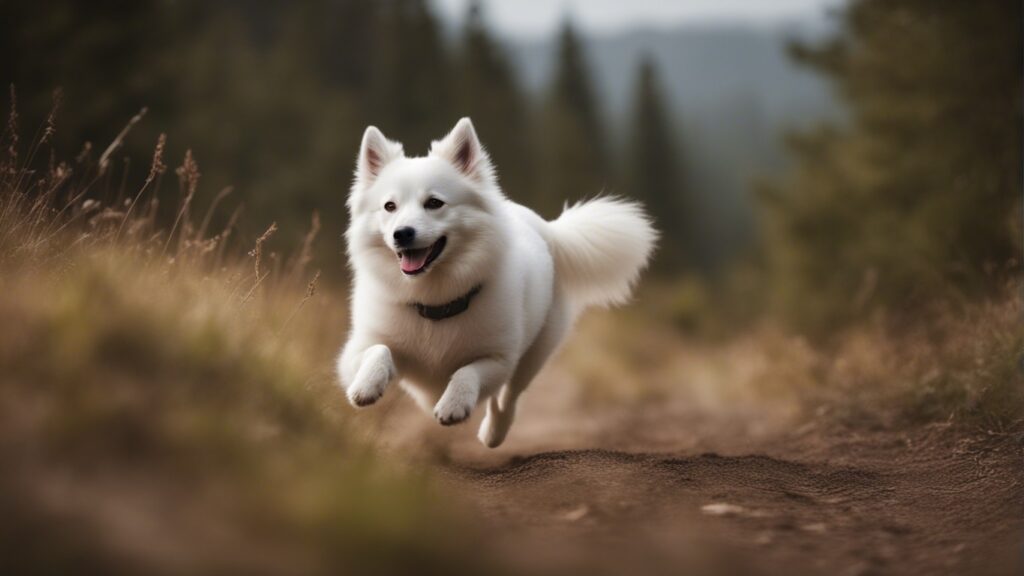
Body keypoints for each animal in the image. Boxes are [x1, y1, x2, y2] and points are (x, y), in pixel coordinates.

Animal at [335, 118, 655, 446]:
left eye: (434, 203)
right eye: (389, 206)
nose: (402, 233)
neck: (436, 302)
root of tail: (547, 228)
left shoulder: (499, 360)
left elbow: (467, 372)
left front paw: (454, 404)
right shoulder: (355, 351)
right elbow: (378, 351)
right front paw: (366, 387)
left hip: (533, 357)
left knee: (508, 399)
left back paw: (494, 433)